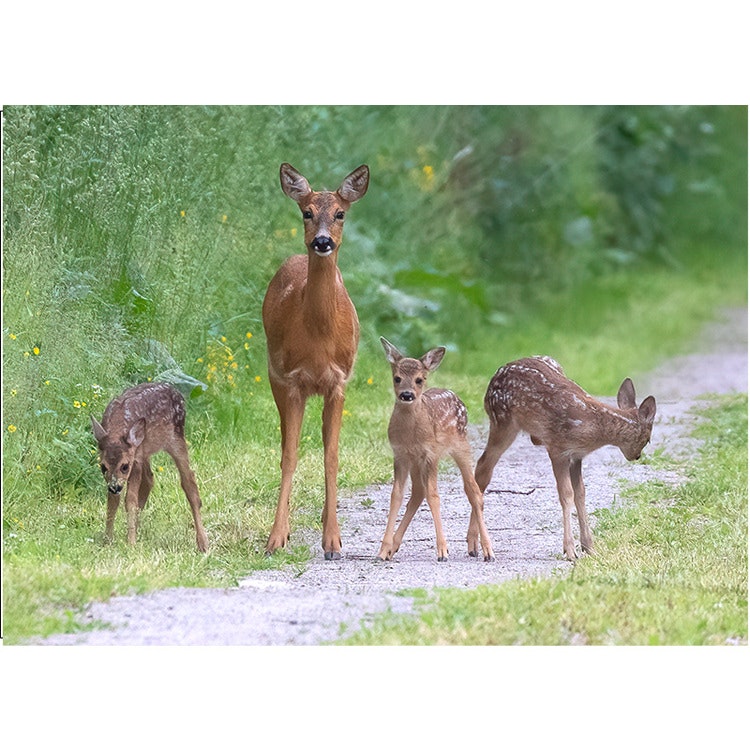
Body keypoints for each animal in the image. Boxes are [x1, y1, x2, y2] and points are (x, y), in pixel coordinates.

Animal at [91, 382, 209, 552]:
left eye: (125, 466)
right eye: (103, 467)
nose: (115, 487)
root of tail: (175, 390)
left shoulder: (135, 461)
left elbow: (130, 500)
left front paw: (131, 543)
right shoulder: (134, 458)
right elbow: (113, 502)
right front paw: (107, 540)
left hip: (176, 437)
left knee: (189, 482)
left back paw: (203, 543)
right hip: (146, 452)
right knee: (150, 480)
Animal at [262, 164, 372, 560]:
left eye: (340, 214)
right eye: (306, 213)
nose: (322, 242)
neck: (319, 339)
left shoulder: (339, 382)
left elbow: (332, 455)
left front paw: (333, 541)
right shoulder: (290, 379)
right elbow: (290, 455)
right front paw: (276, 538)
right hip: (275, 375)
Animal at [378, 340, 496, 564]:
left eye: (419, 379)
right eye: (397, 378)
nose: (407, 395)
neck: (411, 434)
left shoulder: (430, 454)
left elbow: (434, 495)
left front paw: (442, 551)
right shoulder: (401, 455)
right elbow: (396, 495)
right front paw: (382, 551)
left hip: (461, 446)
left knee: (474, 491)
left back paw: (487, 551)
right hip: (417, 462)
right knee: (417, 492)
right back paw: (393, 547)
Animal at [476, 360, 656, 564]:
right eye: (648, 439)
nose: (636, 456)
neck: (594, 427)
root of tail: (492, 379)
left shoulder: (577, 456)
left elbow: (580, 494)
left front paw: (589, 547)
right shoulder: (558, 448)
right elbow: (566, 494)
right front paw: (570, 550)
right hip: (502, 422)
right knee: (482, 468)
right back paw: (483, 549)